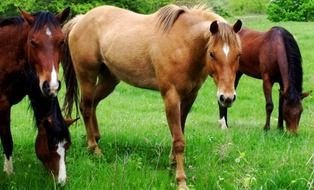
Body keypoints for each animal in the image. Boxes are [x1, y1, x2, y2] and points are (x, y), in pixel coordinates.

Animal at [0, 8, 72, 185]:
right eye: (33, 42)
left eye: (61, 42)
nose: (61, 181)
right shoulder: (3, 104)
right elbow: (7, 140)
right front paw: (9, 173)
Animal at [61, 4, 242, 189]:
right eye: (212, 54)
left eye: (238, 54)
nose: (227, 98)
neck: (183, 45)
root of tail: (80, 21)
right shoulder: (171, 97)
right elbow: (179, 140)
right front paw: (181, 180)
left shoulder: (190, 97)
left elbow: (180, 132)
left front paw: (172, 163)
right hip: (87, 76)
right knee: (86, 107)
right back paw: (94, 148)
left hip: (109, 79)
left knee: (93, 104)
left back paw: (96, 138)